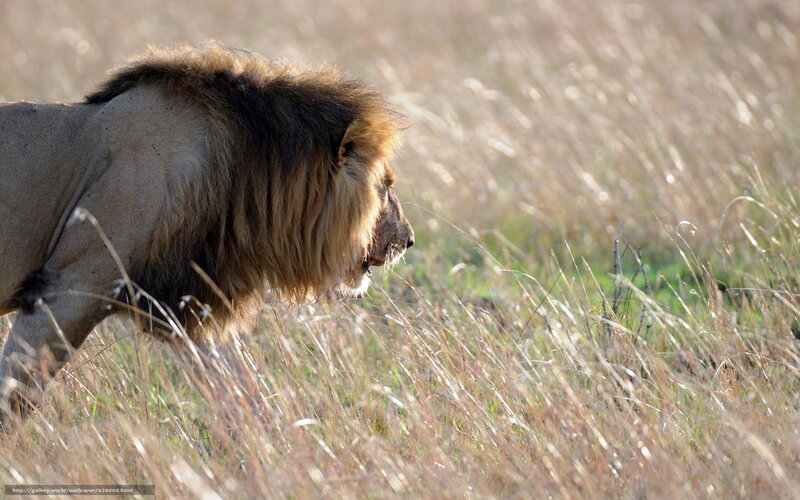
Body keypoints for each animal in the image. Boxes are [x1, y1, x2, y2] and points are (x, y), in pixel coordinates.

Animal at [0, 43, 414, 430]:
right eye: (386, 186)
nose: (408, 240)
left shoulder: (181, 300)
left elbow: (238, 390)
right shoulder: (66, 288)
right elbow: (15, 393)